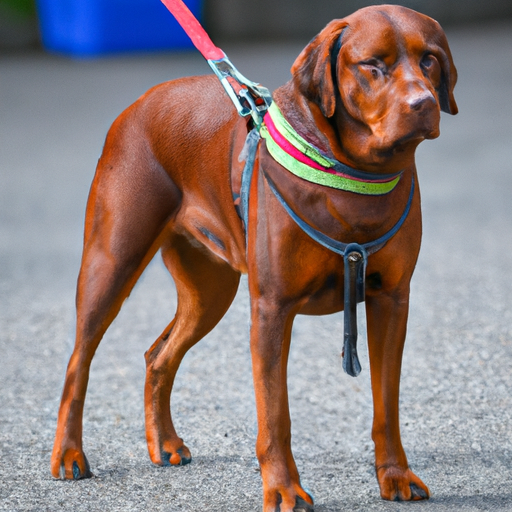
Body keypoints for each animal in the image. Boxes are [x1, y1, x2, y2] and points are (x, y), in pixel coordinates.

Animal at [52, 5, 458, 512]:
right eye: (372, 65)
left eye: (429, 59)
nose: (423, 104)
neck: (355, 177)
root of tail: (139, 102)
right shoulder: (272, 308)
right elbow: (275, 414)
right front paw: (283, 489)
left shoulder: (392, 300)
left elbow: (387, 403)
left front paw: (396, 476)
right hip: (112, 261)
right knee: (78, 363)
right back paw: (69, 455)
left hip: (210, 290)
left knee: (158, 354)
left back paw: (163, 443)